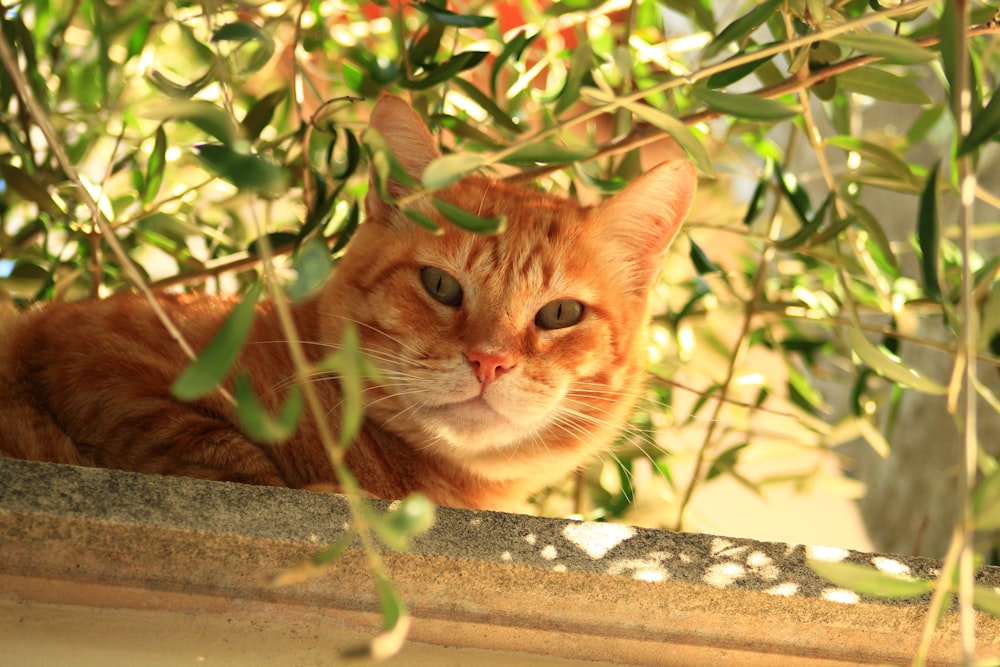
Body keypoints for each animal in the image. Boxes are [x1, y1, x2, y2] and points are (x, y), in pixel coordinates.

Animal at [0, 95, 696, 512]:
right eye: (441, 286)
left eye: (558, 314)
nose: (488, 361)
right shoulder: (99, 360)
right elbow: (217, 451)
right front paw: (328, 489)